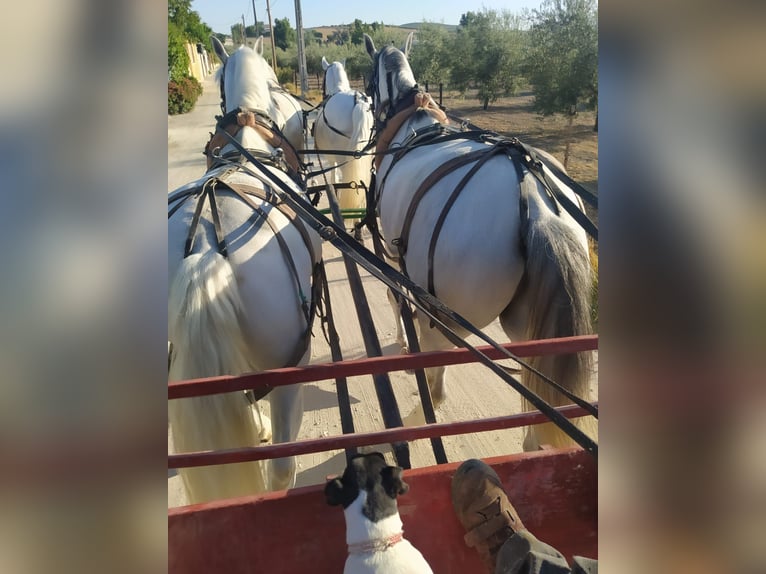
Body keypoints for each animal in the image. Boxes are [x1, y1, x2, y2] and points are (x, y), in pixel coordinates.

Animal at [366, 33, 600, 452]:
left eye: (367, 80)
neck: (412, 124)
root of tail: (535, 199)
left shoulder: (391, 254)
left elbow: (395, 297)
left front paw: (404, 343)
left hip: (447, 319)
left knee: (437, 377)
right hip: (530, 328)